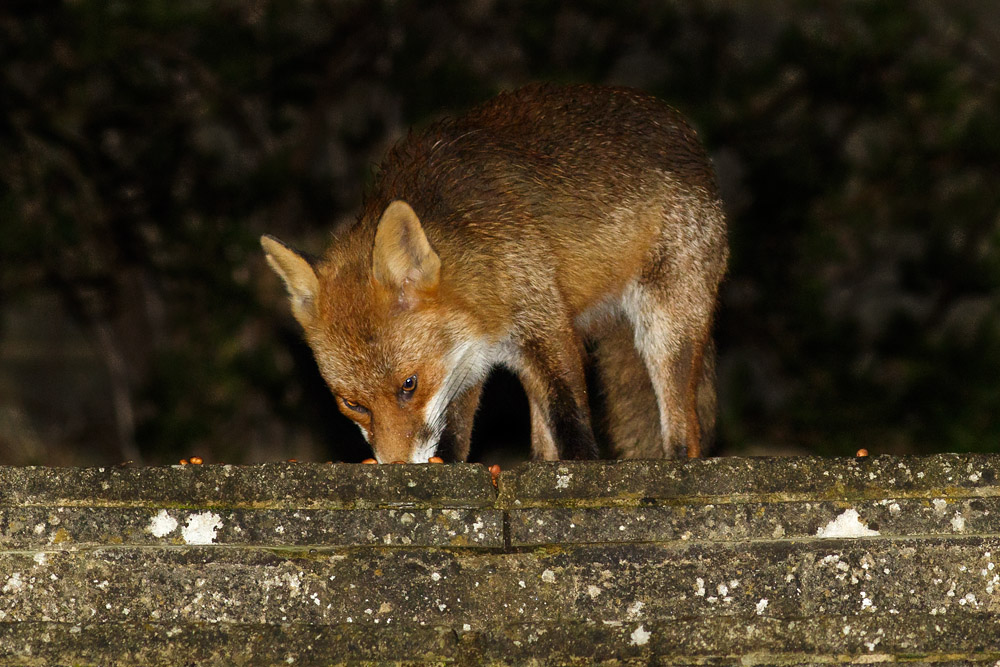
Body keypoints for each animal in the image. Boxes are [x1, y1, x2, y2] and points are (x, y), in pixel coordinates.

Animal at [261, 83, 727, 464]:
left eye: (409, 385)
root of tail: (683, 130)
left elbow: (569, 412)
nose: (395, 467)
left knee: (684, 430)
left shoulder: (544, 324)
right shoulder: (465, 364)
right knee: (542, 434)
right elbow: (455, 435)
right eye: (353, 404)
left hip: (663, 330)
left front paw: (582, 465)